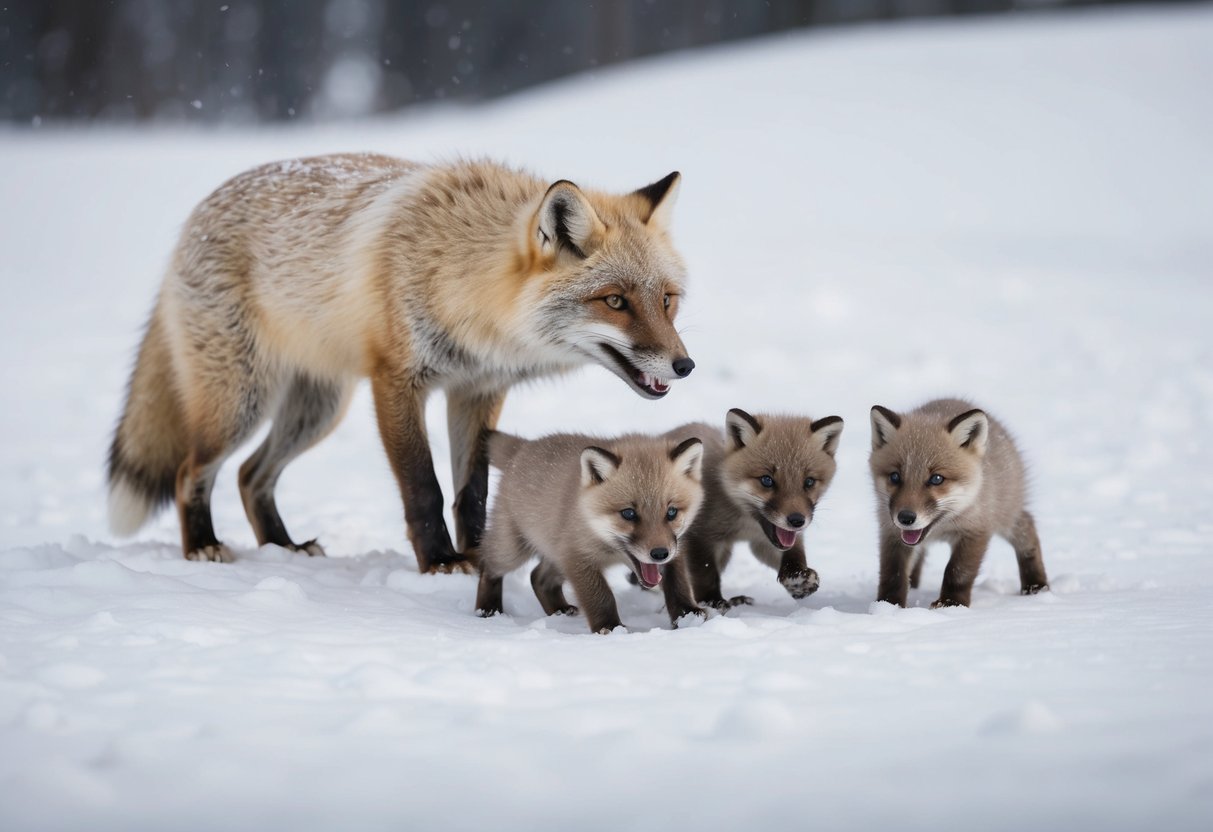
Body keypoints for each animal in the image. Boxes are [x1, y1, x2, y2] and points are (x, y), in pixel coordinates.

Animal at [106, 154, 694, 570]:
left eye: (667, 300)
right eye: (614, 301)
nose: (684, 366)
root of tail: (196, 216)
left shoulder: (476, 390)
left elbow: (471, 490)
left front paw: (478, 555)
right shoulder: (394, 380)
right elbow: (423, 486)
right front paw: (440, 561)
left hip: (317, 410)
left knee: (252, 476)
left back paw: (283, 547)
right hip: (241, 404)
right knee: (190, 471)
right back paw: (202, 546)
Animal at [475, 430, 706, 633]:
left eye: (672, 512)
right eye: (629, 513)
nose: (659, 554)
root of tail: (524, 447)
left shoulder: (676, 547)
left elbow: (678, 584)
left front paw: (687, 615)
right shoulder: (577, 556)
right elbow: (601, 596)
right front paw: (609, 627)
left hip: (555, 555)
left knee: (538, 577)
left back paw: (559, 610)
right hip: (512, 551)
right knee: (490, 566)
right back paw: (487, 609)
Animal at [662, 408, 844, 609]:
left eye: (809, 482)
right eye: (767, 480)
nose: (797, 521)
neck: (744, 524)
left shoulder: (763, 542)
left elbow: (793, 552)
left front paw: (797, 577)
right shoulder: (699, 536)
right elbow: (706, 575)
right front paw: (713, 602)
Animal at [868, 398, 1049, 608]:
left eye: (936, 479)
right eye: (895, 477)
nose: (905, 518)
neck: (941, 528)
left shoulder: (976, 530)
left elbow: (958, 571)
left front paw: (951, 603)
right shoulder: (891, 532)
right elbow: (893, 573)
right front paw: (888, 605)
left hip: (1006, 515)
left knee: (1027, 528)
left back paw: (1036, 584)